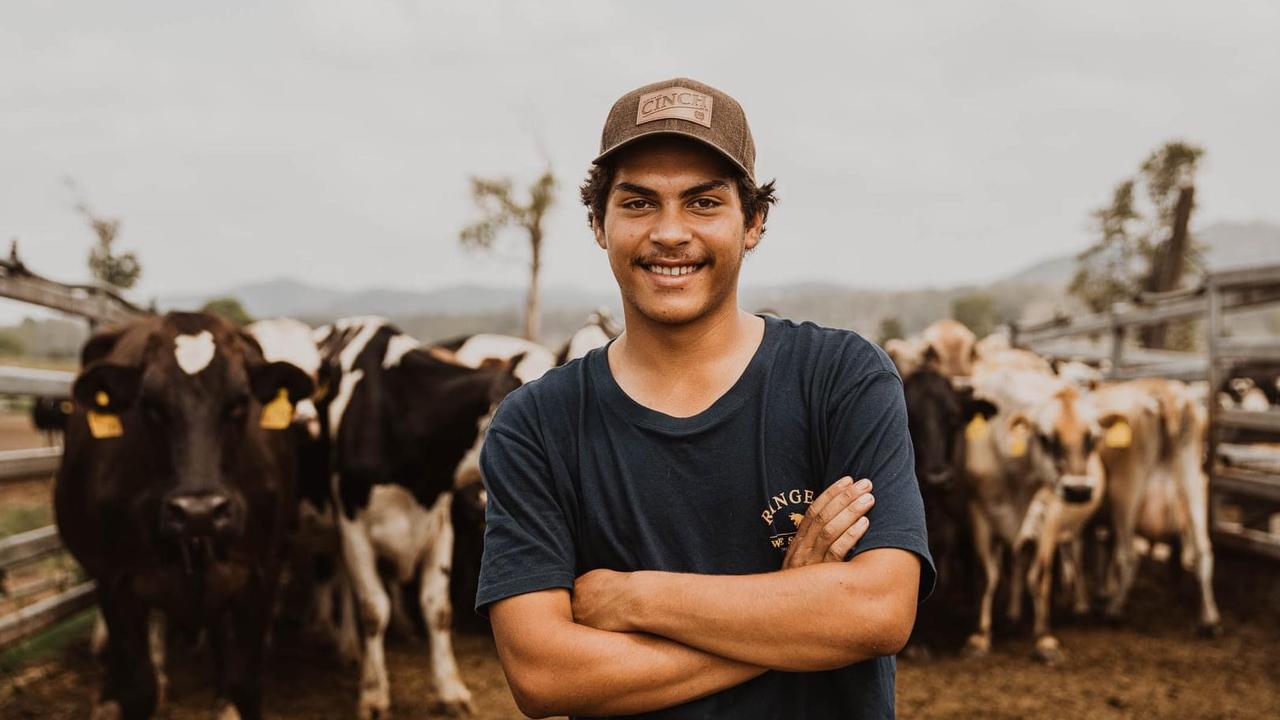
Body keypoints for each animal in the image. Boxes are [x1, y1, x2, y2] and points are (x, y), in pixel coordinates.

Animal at [54, 312, 314, 717]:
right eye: (150, 405)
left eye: (239, 403)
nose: (199, 512)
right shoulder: (115, 580)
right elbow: (138, 689)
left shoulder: (260, 573)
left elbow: (247, 685)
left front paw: (229, 697)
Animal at [312, 315, 522, 717]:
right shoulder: (353, 527)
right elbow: (372, 609)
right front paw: (374, 694)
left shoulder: (438, 526)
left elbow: (437, 609)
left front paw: (451, 690)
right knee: (345, 581)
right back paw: (348, 645)